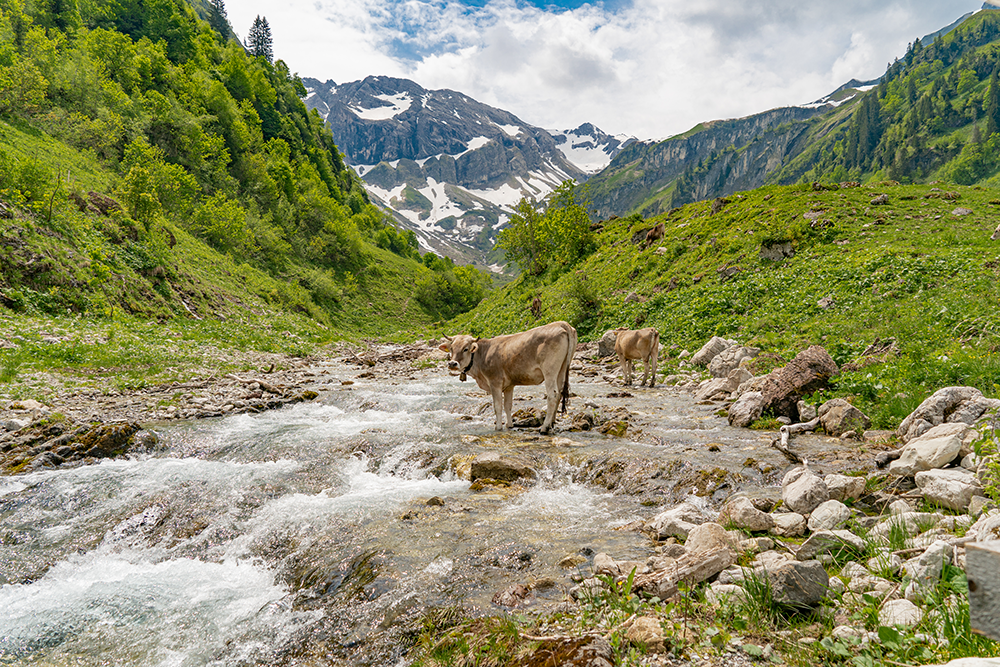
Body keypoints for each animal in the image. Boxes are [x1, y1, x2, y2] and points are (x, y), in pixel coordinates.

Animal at [440, 320, 580, 436]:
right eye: (451, 348)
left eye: (466, 349)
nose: (452, 363)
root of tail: (561, 323)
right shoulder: (509, 385)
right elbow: (508, 406)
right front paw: (509, 425)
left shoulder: (494, 382)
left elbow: (498, 406)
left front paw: (498, 427)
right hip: (561, 369)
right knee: (560, 392)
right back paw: (552, 423)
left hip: (550, 371)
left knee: (553, 395)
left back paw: (544, 428)